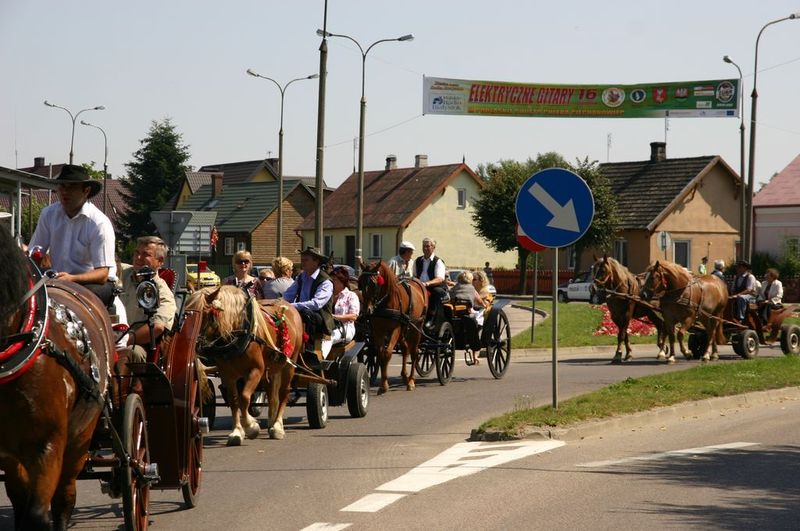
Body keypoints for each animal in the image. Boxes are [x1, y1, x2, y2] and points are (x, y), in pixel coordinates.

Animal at [0, 228, 114, 530]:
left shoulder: (48, 444)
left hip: (81, 438)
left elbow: (37, 514)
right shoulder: (8, 452)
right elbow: (20, 506)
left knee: (65, 496)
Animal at [186, 286, 302, 445]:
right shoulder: (227, 374)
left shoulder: (256, 370)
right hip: (271, 367)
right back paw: (271, 423)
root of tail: (288, 305)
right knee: (272, 394)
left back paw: (278, 426)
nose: (193, 345)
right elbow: (234, 400)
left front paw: (251, 427)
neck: (238, 333)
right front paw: (237, 432)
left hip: (289, 363)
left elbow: (245, 397)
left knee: (284, 392)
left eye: (206, 314)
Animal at [358, 260, 427, 395]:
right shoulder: (378, 331)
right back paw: (405, 376)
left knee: (414, 352)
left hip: (416, 327)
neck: (386, 302)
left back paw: (411, 381)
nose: (367, 310)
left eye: (374, 284)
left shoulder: (395, 330)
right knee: (405, 349)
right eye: (361, 284)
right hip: (404, 330)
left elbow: (387, 353)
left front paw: (384, 385)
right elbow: (381, 354)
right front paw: (383, 385)